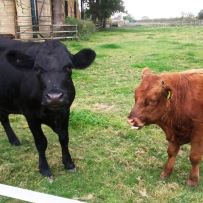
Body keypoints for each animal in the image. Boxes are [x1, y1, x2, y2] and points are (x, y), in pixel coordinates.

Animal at [0, 38, 96, 176]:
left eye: (69, 67)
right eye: (36, 69)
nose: (54, 97)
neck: (51, 114)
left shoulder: (65, 111)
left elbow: (64, 138)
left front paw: (69, 163)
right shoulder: (30, 115)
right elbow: (41, 142)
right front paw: (44, 168)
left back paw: (14, 140)